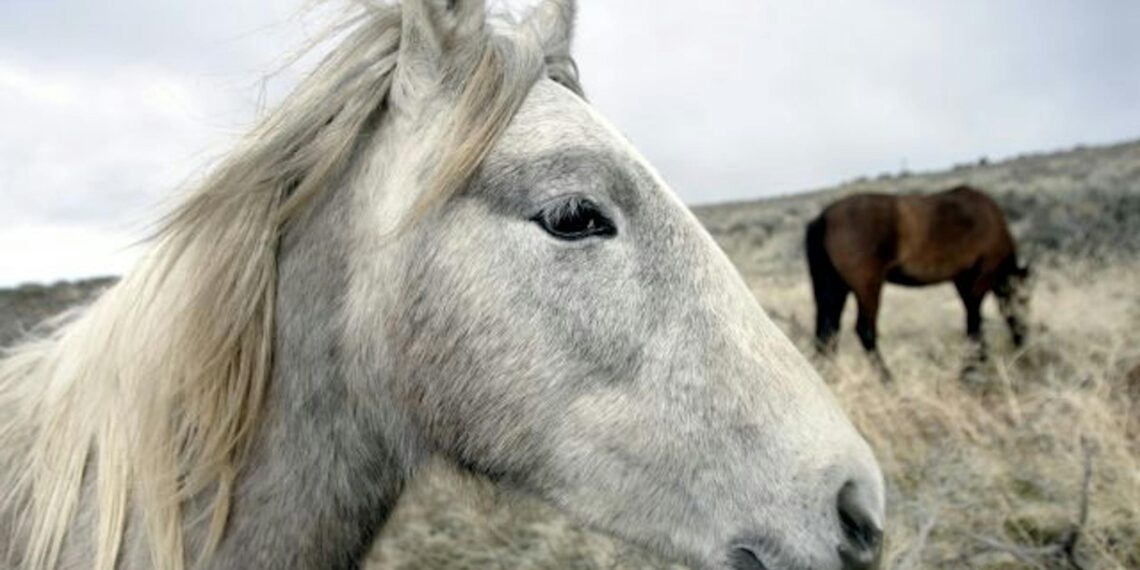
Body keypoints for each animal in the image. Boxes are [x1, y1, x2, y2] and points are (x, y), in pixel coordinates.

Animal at [805, 185, 1032, 382]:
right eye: (1025, 299)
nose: (1022, 339)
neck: (991, 221)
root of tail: (823, 218)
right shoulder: (981, 277)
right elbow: (974, 320)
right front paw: (971, 367)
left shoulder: (962, 281)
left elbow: (971, 316)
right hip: (867, 286)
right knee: (864, 330)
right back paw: (889, 381)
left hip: (834, 288)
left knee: (827, 332)